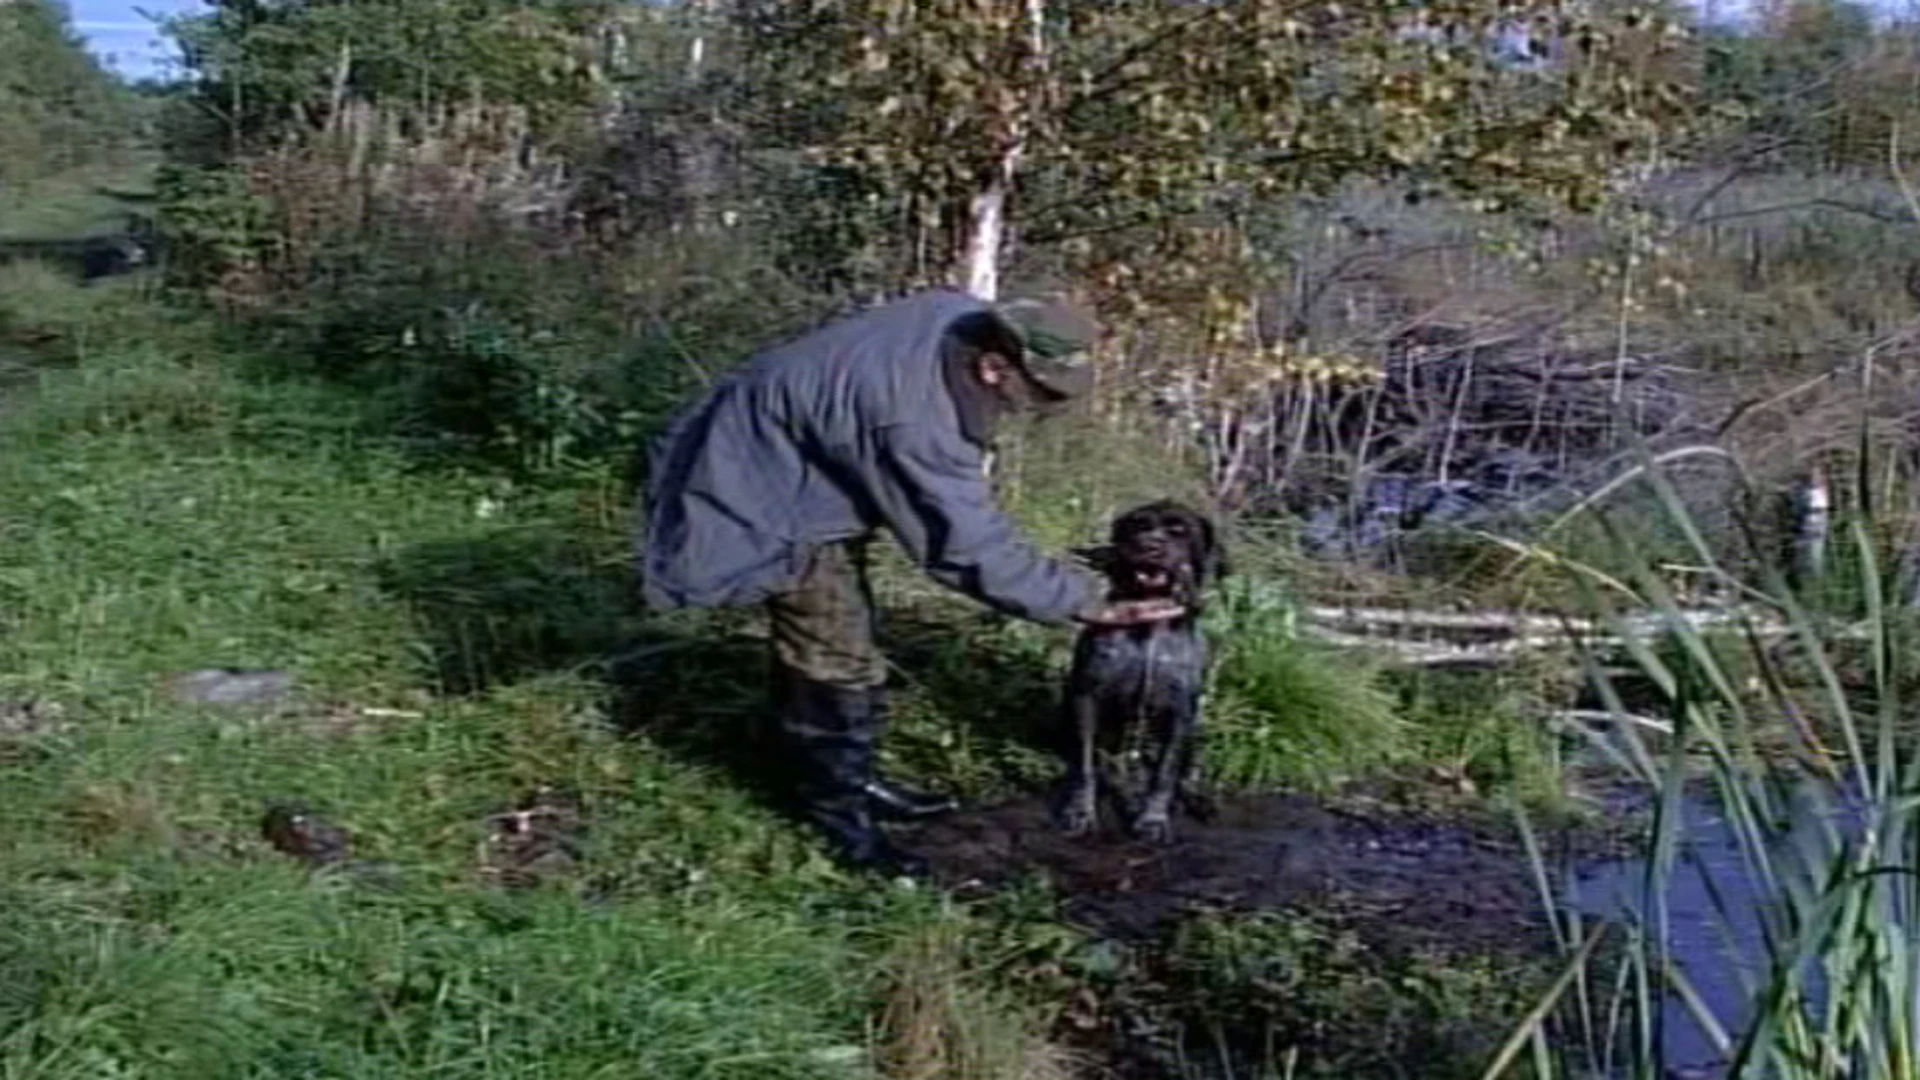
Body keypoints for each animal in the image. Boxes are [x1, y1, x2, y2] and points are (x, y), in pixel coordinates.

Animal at [1059, 495, 1221, 841]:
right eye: (1138, 526)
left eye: (1179, 530)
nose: (1150, 546)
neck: (1148, 628)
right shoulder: (1086, 698)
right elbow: (1084, 764)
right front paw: (1079, 810)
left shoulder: (1180, 712)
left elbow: (1166, 773)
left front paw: (1152, 819)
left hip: (1195, 734)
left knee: (1184, 772)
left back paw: (1197, 799)